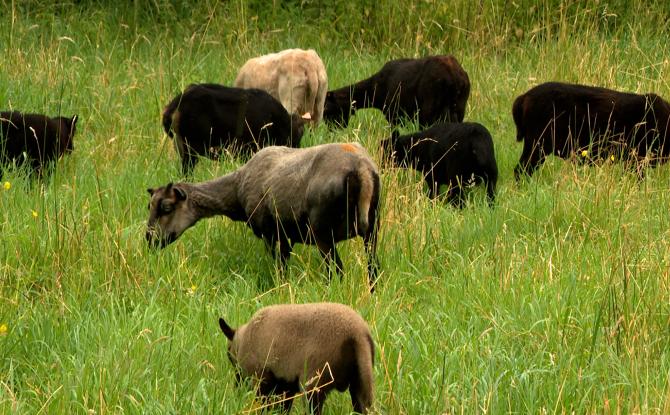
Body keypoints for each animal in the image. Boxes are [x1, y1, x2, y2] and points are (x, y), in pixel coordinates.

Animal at [145, 142, 381, 290]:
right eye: (149, 206)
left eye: (167, 207)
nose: (149, 239)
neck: (236, 190)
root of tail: (362, 169)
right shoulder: (287, 236)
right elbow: (284, 265)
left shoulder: (269, 233)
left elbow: (278, 267)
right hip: (371, 230)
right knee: (373, 269)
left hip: (323, 231)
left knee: (337, 271)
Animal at [218, 302, 375, 414]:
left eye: (228, 355)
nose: (236, 386)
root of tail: (357, 335)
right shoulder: (285, 386)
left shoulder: (262, 381)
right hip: (361, 383)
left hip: (314, 385)